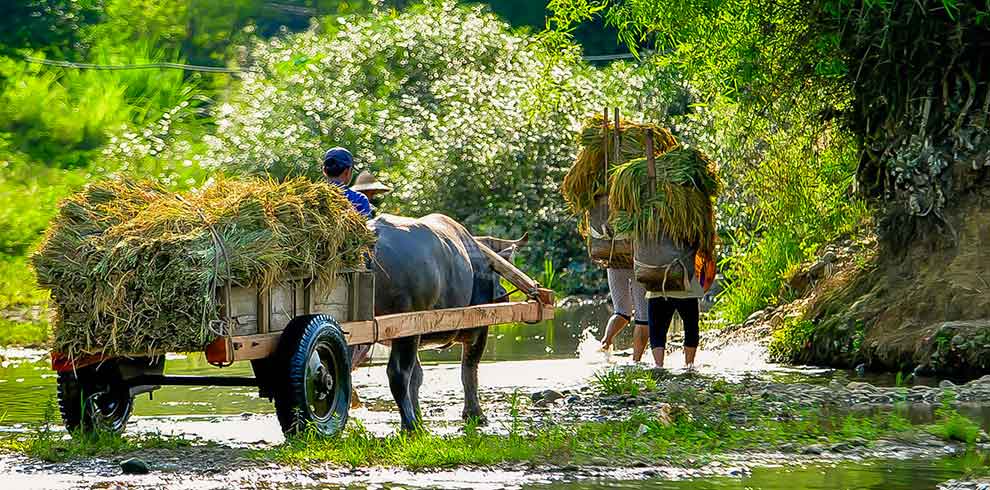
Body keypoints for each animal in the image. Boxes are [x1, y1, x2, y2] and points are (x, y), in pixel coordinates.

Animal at [354, 212, 528, 430]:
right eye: (497, 277)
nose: (502, 295)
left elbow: (418, 376)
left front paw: (420, 415)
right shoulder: (478, 329)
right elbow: (469, 370)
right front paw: (475, 415)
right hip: (406, 328)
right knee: (398, 373)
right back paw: (410, 425)